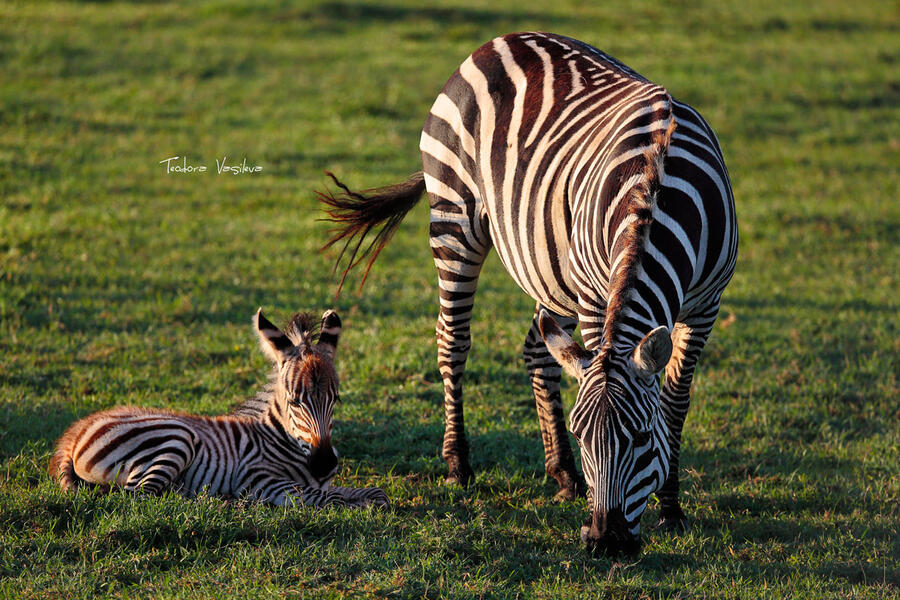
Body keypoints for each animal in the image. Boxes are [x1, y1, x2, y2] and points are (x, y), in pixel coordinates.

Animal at [49, 310, 386, 510]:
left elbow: (375, 493)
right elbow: (326, 497)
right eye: (294, 401)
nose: (324, 464)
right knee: (140, 497)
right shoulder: (259, 479)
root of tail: (75, 432)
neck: (281, 439)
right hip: (175, 437)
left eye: (336, 399)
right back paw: (223, 503)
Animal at [320, 32, 736, 556]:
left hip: (551, 264)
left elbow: (675, 402)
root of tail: (496, 42)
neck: (656, 187)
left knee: (539, 350)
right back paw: (459, 465)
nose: (605, 541)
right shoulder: (596, 298)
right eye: (583, 435)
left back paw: (563, 475)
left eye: (643, 438)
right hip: (455, 218)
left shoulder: (706, 306)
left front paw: (672, 507)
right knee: (452, 341)